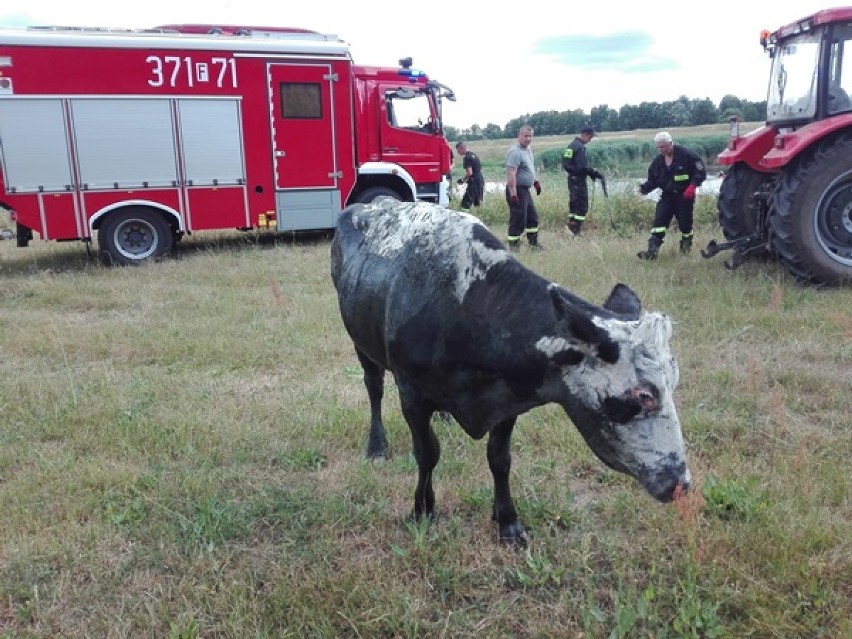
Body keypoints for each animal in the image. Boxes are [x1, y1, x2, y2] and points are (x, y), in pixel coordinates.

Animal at [330, 200, 688, 544]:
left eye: (673, 384)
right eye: (643, 394)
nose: (681, 483)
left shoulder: (507, 399)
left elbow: (499, 460)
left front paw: (507, 521)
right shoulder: (412, 396)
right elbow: (427, 453)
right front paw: (422, 510)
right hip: (360, 343)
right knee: (374, 388)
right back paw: (377, 445)